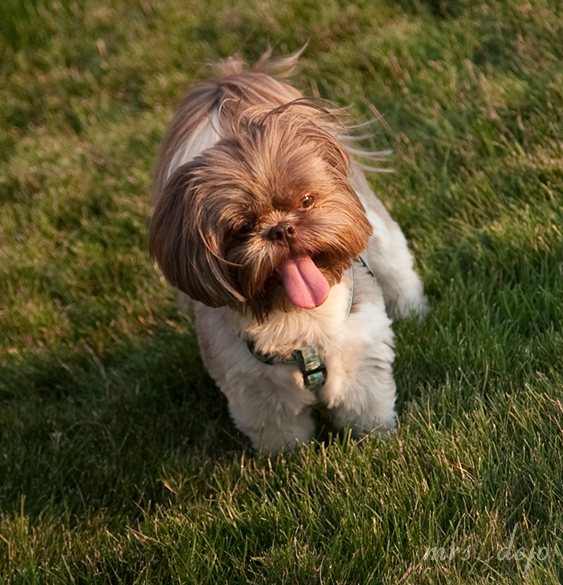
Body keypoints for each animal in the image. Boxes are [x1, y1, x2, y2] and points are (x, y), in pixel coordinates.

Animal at [150, 49, 427, 454]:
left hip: (379, 237)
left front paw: (375, 441)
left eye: (306, 201)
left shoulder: (359, 358)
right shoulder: (256, 390)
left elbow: (365, 409)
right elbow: (283, 433)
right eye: (242, 227)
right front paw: (290, 459)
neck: (296, 317)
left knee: (395, 267)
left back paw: (412, 310)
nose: (281, 228)